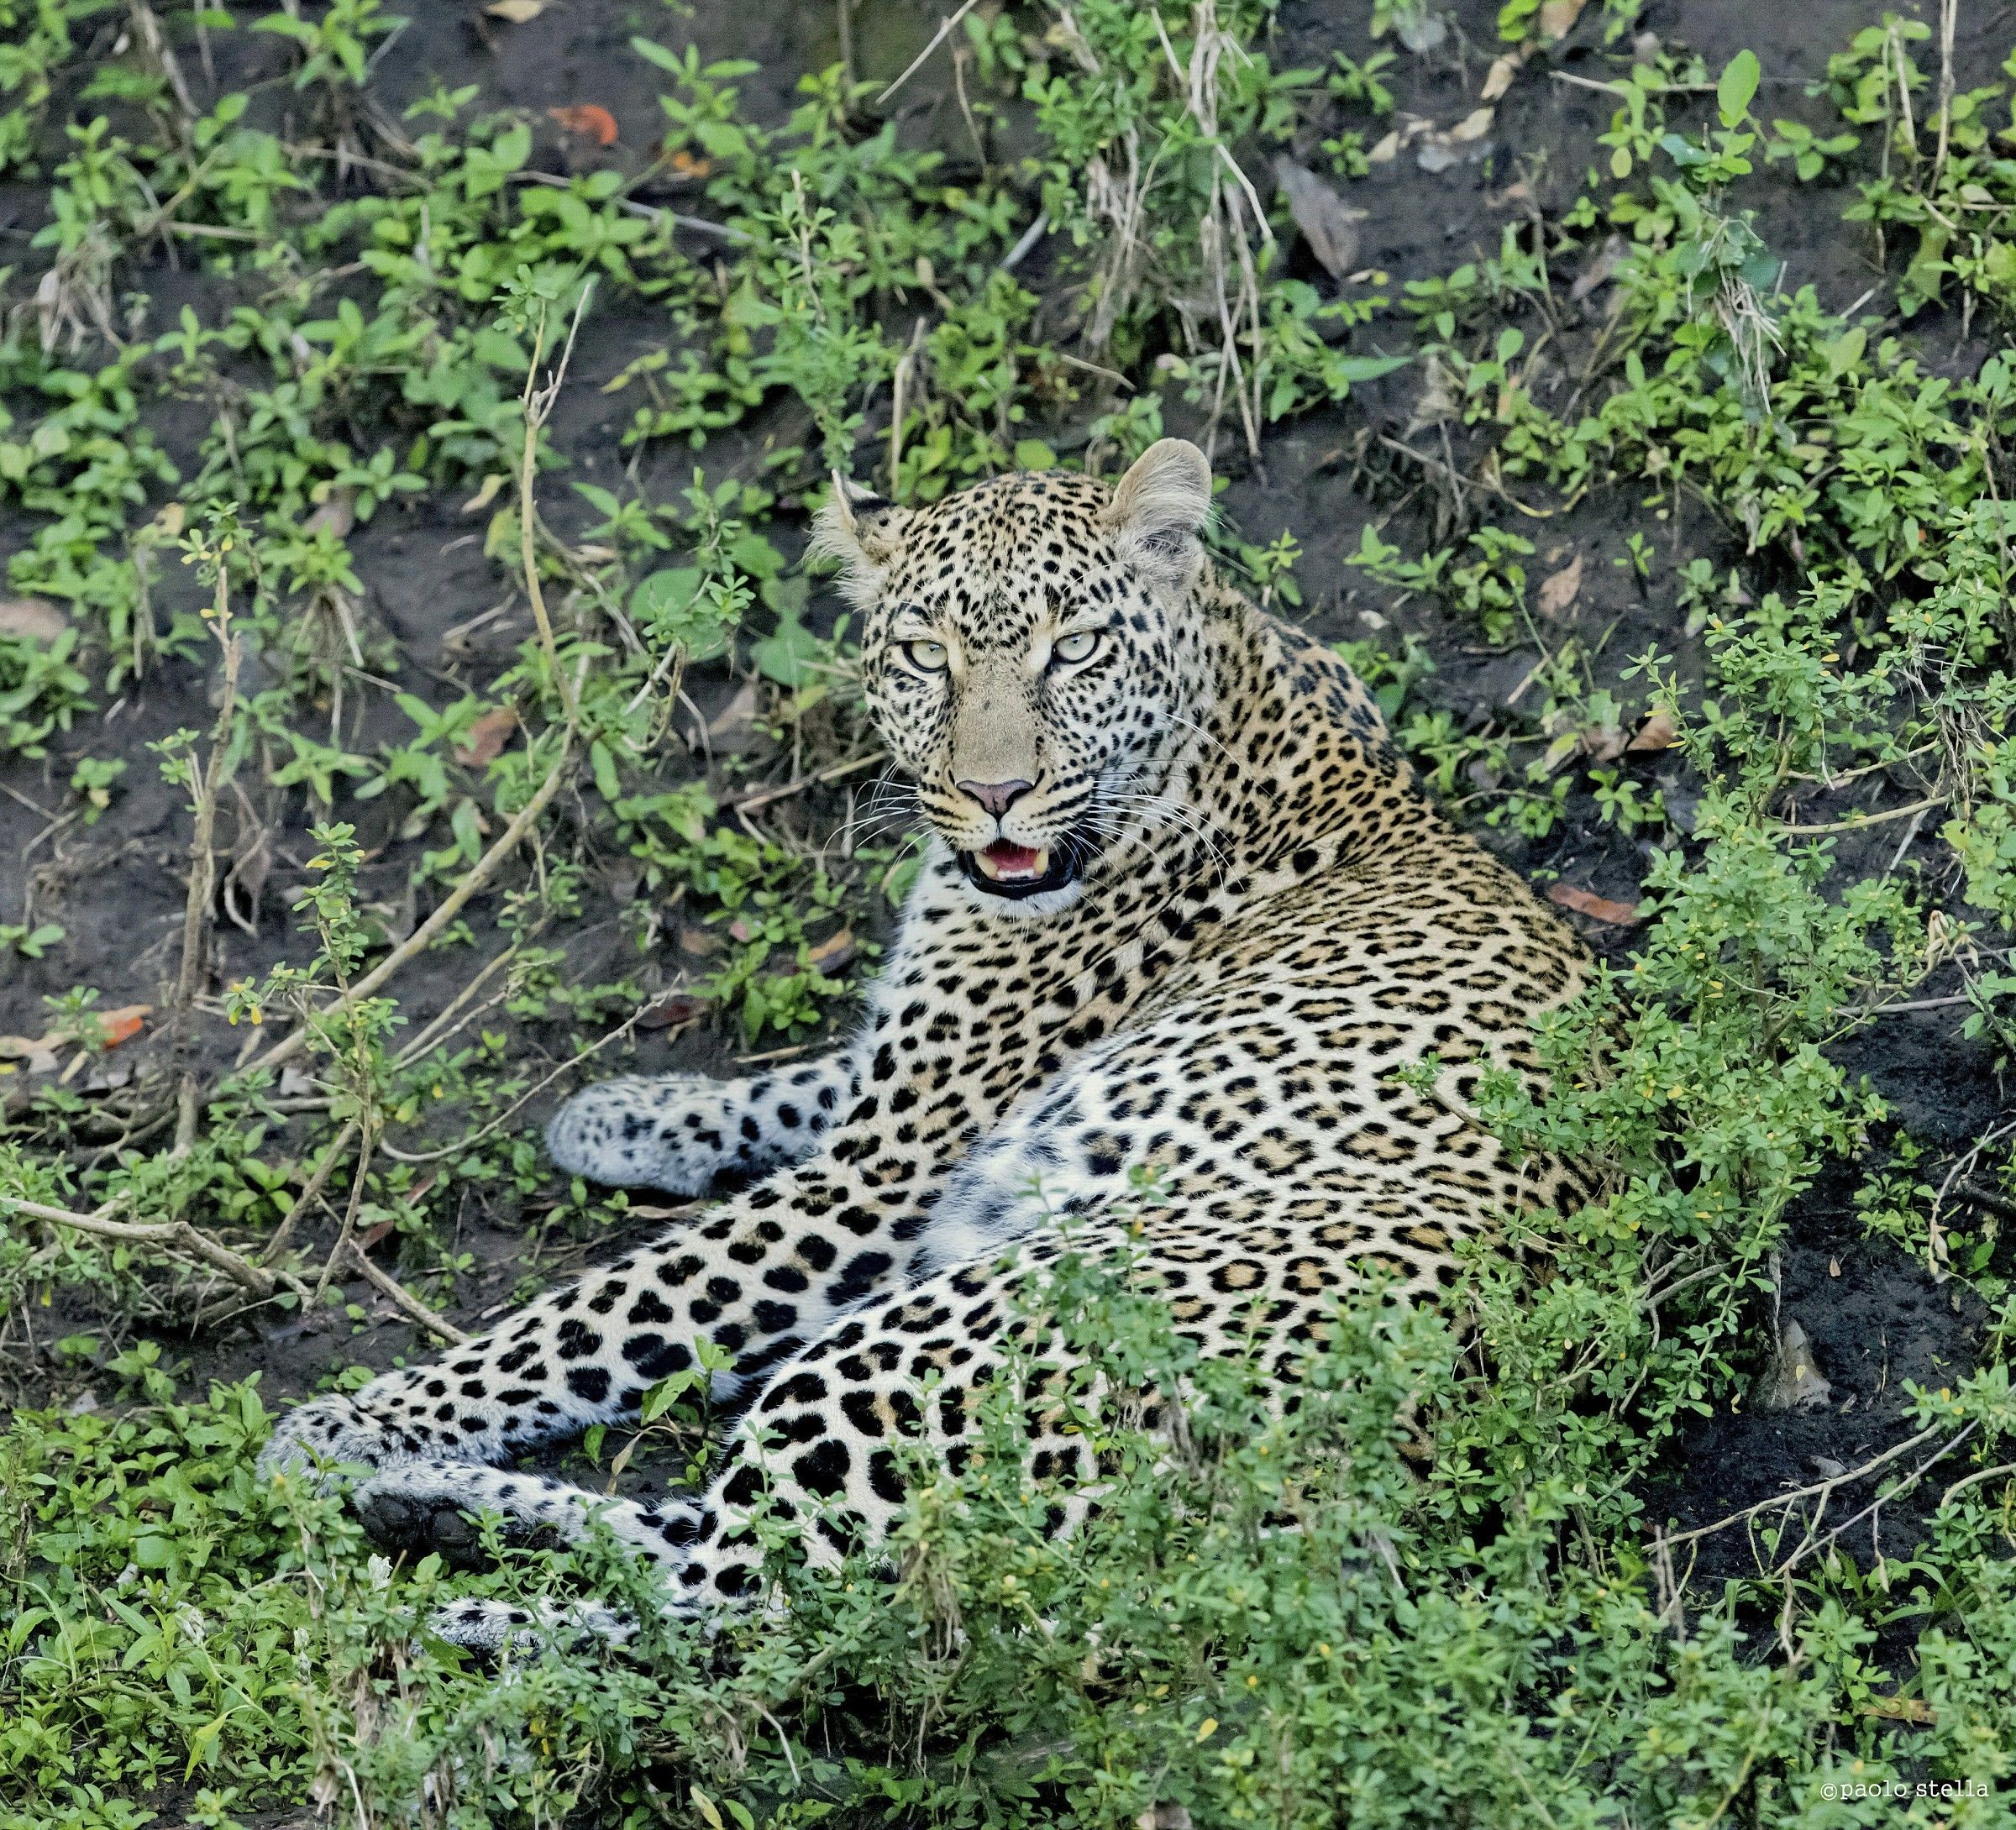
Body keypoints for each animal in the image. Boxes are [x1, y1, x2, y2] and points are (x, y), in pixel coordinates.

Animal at [259, 439, 1591, 1651]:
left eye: (1074, 649)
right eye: (923, 656)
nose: (995, 793)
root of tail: (1336, 1495)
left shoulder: (880, 1173)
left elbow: (590, 1318)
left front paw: (347, 1422)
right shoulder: (902, 1093)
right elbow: (794, 1083)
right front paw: (624, 1116)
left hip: (960, 1324)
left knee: (737, 1611)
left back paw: (447, 1595)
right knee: (722, 1550)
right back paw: (430, 1511)